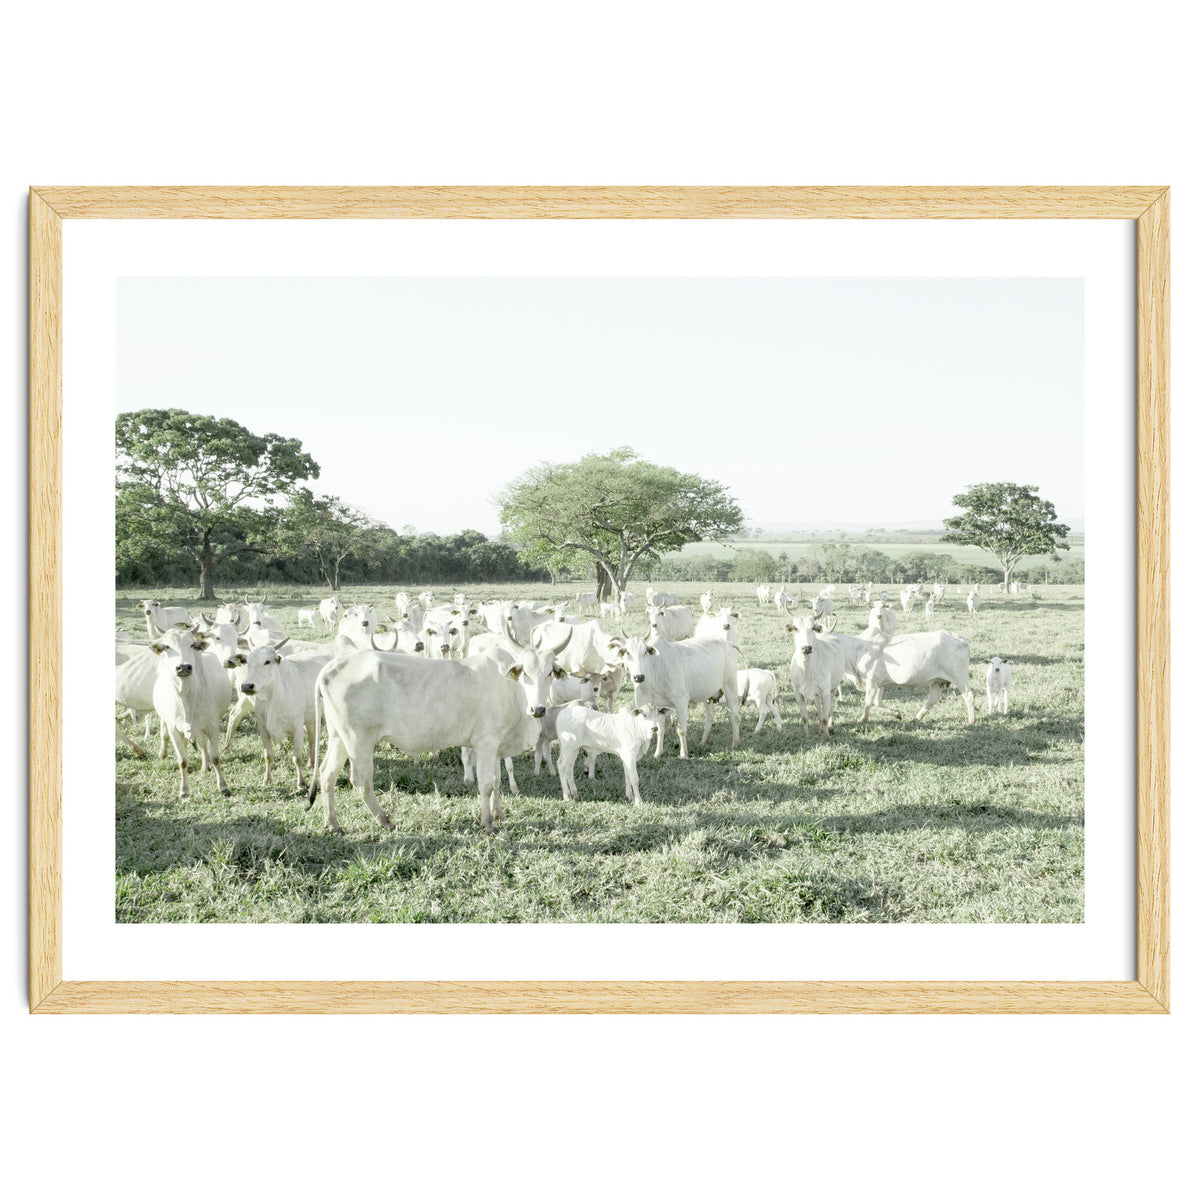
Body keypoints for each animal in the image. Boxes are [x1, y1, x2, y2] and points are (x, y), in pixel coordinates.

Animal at [149, 625, 233, 797]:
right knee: (167, 735)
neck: (187, 698)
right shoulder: (174, 728)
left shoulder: (212, 725)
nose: (184, 667)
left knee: (202, 744)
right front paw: (184, 790)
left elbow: (215, 757)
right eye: (167, 646)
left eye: (192, 645)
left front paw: (223, 786)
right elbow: (182, 760)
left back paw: (205, 765)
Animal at [239, 640, 331, 790]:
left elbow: (297, 758)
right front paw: (266, 780)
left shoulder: (297, 729)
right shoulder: (263, 729)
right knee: (312, 738)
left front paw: (301, 784)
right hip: (310, 719)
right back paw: (311, 763)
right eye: (248, 662)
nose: (247, 686)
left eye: (267, 661)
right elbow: (268, 756)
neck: (273, 699)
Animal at [307, 623, 573, 833]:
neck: (510, 688)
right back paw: (384, 820)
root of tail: (332, 667)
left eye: (550, 673)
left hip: (338, 737)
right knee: (361, 780)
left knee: (327, 774)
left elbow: (497, 781)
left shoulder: (496, 746)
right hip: (358, 740)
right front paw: (487, 823)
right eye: (525, 673)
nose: (538, 709)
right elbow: (486, 785)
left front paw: (499, 814)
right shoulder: (485, 744)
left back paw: (332, 824)